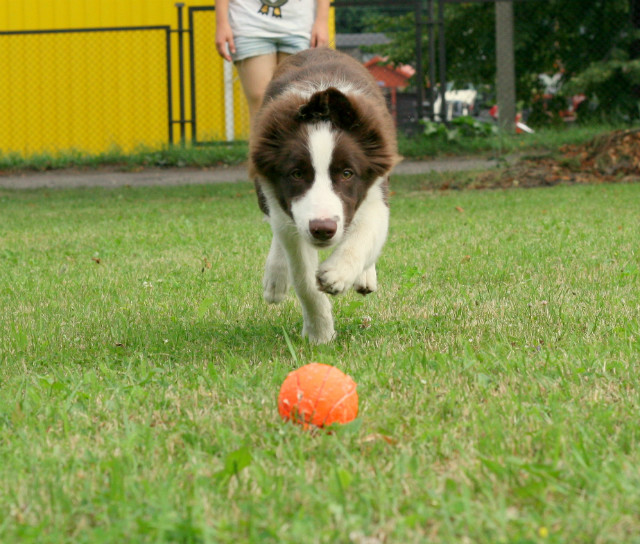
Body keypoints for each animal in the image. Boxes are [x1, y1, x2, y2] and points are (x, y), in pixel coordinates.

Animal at [250, 47, 400, 344]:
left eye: (347, 173)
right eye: (296, 174)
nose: (323, 229)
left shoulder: (376, 193)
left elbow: (364, 235)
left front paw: (338, 273)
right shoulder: (285, 208)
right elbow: (304, 279)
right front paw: (320, 333)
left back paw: (365, 277)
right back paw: (275, 279)